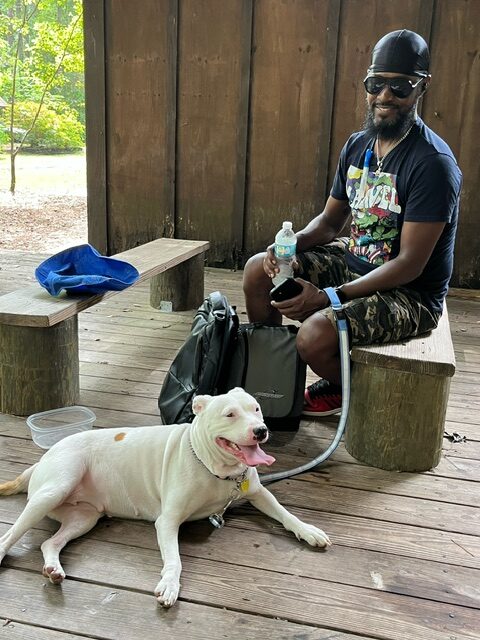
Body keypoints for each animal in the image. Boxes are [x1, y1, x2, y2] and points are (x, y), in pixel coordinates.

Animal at [0, 388, 330, 608]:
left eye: (257, 409)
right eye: (230, 414)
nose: (261, 431)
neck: (216, 470)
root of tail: (42, 460)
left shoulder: (258, 493)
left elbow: (286, 513)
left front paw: (309, 531)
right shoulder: (168, 521)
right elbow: (174, 558)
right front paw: (170, 585)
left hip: (84, 517)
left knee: (50, 542)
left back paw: (54, 570)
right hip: (56, 487)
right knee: (10, 534)